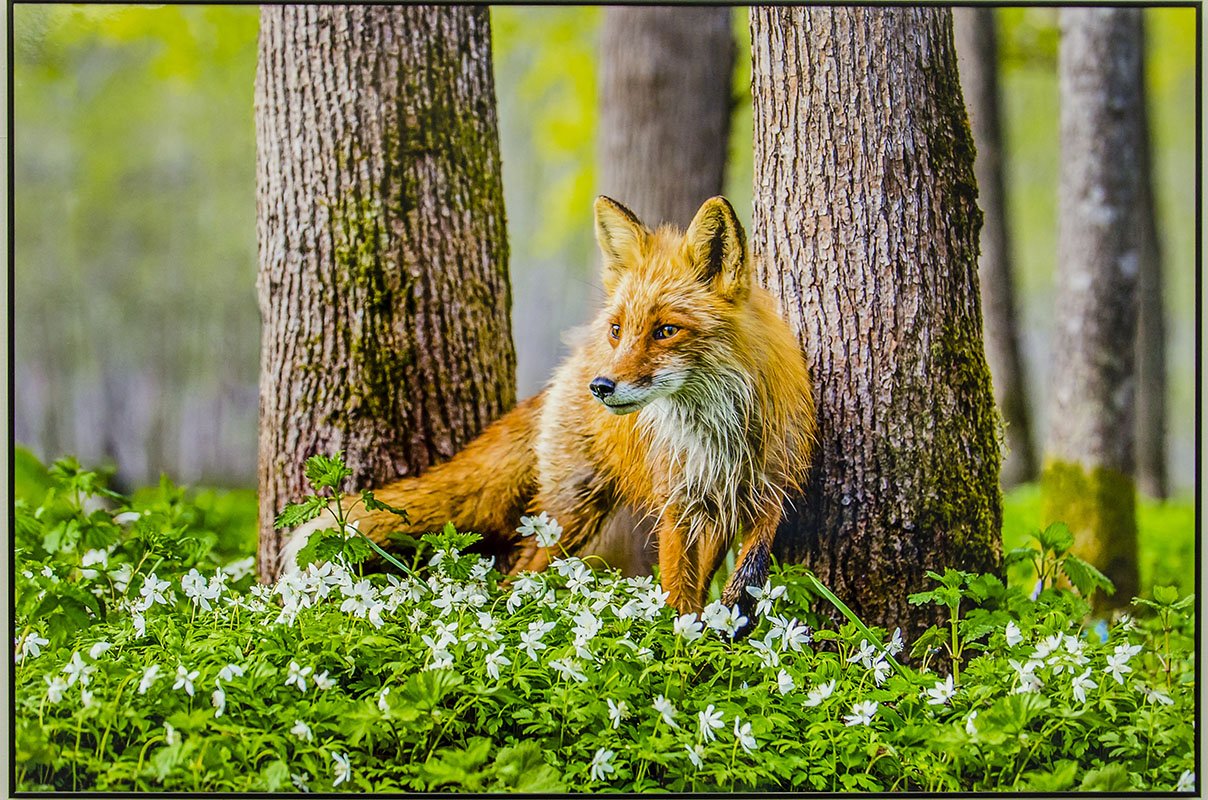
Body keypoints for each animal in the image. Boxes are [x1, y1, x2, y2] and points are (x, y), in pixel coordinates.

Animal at [277, 196, 816, 616]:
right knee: (516, 574)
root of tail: (574, 362)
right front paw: (681, 646)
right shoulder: (677, 504)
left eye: (666, 330)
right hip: (569, 515)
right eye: (619, 329)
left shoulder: (771, 483)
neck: (715, 433)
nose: (602, 386)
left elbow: (753, 553)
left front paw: (730, 616)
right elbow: (678, 593)